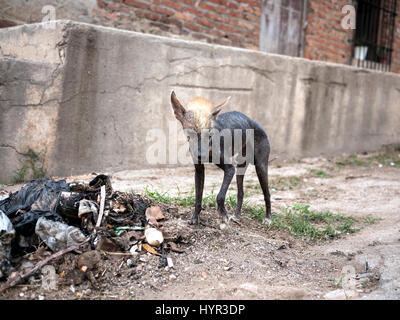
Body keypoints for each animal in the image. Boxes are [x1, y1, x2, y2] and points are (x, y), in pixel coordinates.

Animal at [170, 90, 270, 225]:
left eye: (209, 134)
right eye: (190, 134)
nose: (201, 155)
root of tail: (253, 121)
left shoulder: (230, 169)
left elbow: (220, 196)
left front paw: (224, 215)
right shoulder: (199, 171)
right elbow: (198, 198)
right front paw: (195, 218)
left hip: (260, 167)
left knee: (267, 194)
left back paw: (268, 218)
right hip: (240, 168)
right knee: (241, 192)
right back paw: (237, 216)